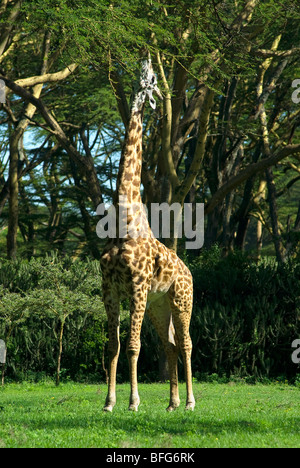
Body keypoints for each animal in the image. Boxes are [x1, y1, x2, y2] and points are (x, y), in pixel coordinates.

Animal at [99, 58, 196, 414]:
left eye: (150, 81)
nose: (146, 95)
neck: (124, 221)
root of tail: (189, 271)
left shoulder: (137, 288)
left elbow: (133, 346)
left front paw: (133, 402)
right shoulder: (110, 289)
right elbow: (113, 346)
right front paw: (109, 403)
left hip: (181, 300)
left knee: (185, 342)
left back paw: (190, 402)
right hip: (159, 305)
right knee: (169, 346)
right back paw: (172, 403)